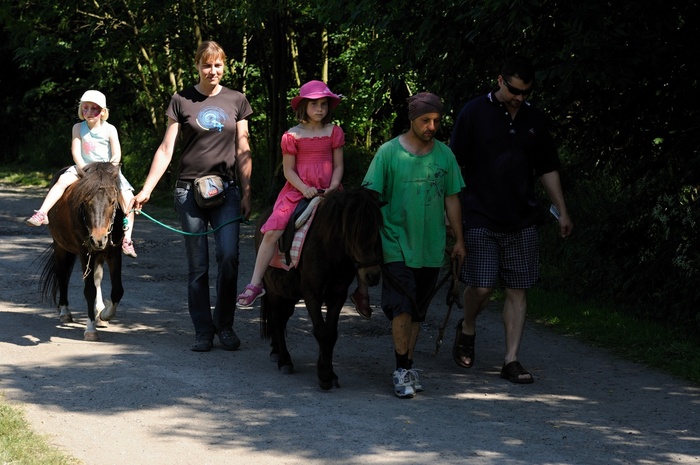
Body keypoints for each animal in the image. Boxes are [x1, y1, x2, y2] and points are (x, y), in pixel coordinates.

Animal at [39, 162, 125, 341]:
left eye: (113, 201)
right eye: (85, 201)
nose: (98, 239)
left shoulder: (114, 252)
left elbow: (117, 290)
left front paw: (104, 314)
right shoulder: (85, 251)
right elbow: (89, 290)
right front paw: (91, 329)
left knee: (97, 279)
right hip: (60, 246)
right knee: (62, 275)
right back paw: (65, 312)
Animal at [259, 186, 384, 390]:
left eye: (376, 230)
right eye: (351, 232)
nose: (372, 275)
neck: (329, 251)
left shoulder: (337, 295)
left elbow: (331, 333)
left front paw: (330, 373)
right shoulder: (312, 294)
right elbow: (321, 331)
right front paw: (324, 376)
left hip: (290, 294)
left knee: (282, 319)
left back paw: (277, 351)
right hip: (275, 291)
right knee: (277, 319)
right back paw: (284, 360)